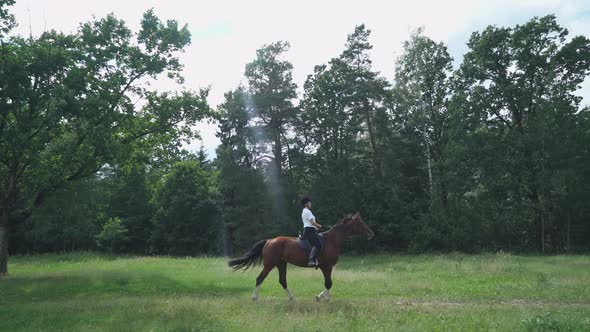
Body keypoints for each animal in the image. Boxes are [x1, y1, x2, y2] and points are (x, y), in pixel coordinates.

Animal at [228, 213, 374, 300]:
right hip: (270, 265)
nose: (371, 233)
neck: (331, 240)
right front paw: (322, 298)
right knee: (259, 279)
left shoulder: (326, 267)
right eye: (361, 223)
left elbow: (328, 283)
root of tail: (269, 241)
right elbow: (329, 283)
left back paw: (292, 299)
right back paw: (254, 298)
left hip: (281, 264)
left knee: (282, 281)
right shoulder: (326, 266)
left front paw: (324, 298)